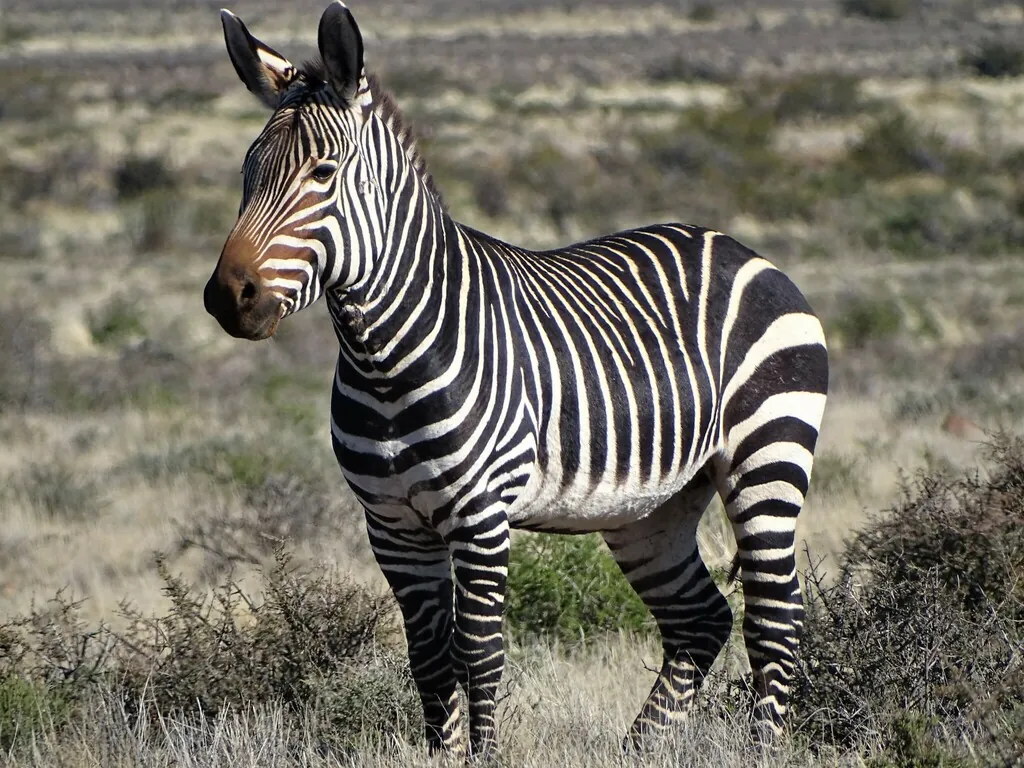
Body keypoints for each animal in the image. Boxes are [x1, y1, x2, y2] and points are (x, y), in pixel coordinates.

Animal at [203, 2, 828, 759]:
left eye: (323, 173)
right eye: (247, 172)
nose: (227, 297)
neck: (384, 359)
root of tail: (740, 247)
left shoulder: (480, 516)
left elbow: (479, 653)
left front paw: (483, 756)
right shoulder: (392, 527)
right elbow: (428, 658)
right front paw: (441, 757)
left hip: (768, 455)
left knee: (775, 617)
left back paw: (759, 747)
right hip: (653, 507)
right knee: (699, 619)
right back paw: (636, 752)